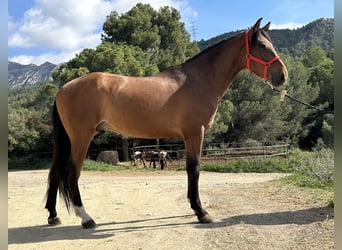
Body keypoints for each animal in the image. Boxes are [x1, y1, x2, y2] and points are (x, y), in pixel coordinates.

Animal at [44, 18, 288, 229]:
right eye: (262, 45)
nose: (283, 76)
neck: (199, 80)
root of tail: (63, 89)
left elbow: (191, 169)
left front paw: (194, 207)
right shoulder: (195, 133)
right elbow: (194, 169)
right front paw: (201, 212)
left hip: (68, 140)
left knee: (55, 172)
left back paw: (53, 215)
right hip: (81, 138)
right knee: (71, 172)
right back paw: (86, 218)